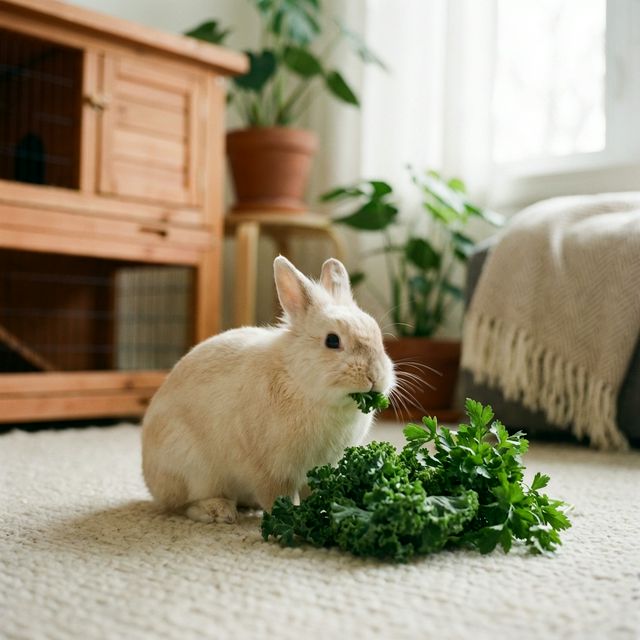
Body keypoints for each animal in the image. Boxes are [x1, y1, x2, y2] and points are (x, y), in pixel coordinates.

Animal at [141, 256, 395, 524]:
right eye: (332, 341)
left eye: (377, 334)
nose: (375, 376)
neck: (298, 381)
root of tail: (150, 479)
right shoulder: (271, 469)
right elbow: (276, 495)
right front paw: (289, 517)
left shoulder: (317, 468)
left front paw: (321, 511)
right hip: (192, 469)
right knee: (183, 505)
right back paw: (219, 511)